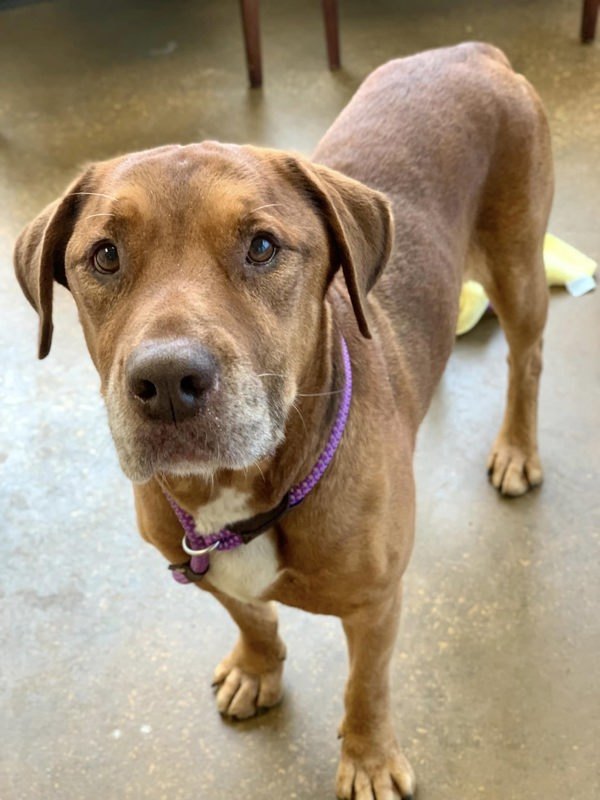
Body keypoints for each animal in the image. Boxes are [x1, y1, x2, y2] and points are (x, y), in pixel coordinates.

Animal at [14, 45, 552, 800]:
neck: (237, 493)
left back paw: (517, 449)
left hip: (519, 269)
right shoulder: (201, 567)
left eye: (263, 247)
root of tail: (471, 51)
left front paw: (368, 758)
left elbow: (366, 688)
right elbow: (250, 613)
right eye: (106, 254)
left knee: (526, 359)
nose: (167, 382)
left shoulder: (376, 605)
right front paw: (256, 665)